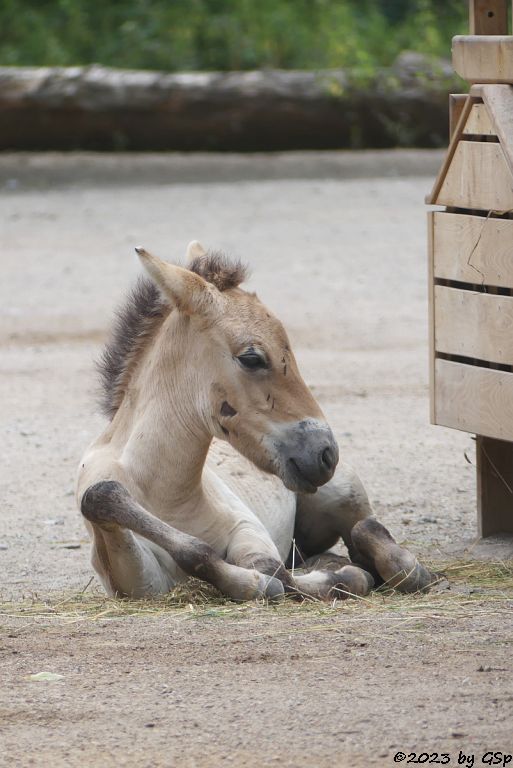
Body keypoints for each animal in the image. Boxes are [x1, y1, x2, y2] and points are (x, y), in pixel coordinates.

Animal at [77, 240, 436, 600]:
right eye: (251, 358)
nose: (325, 453)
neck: (166, 492)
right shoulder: (138, 579)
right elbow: (102, 498)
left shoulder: (247, 529)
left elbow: (272, 572)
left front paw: (341, 578)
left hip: (344, 496)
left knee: (368, 532)